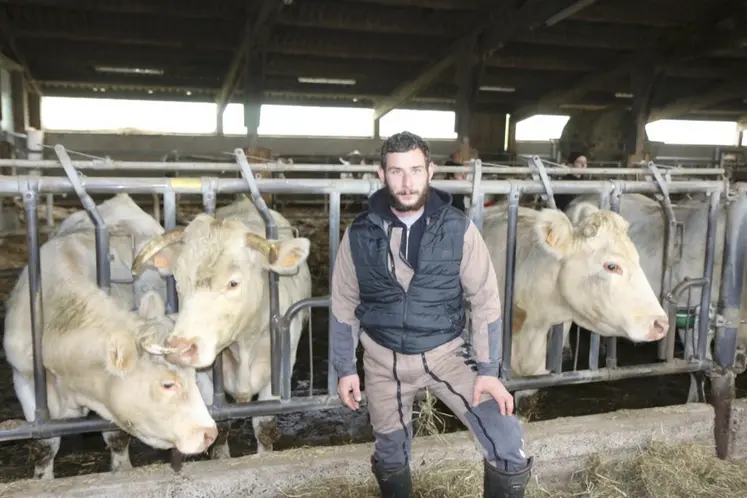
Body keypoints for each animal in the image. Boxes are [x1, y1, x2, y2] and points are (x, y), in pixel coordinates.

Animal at [2, 195, 218, 478]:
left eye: (190, 377)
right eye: (167, 384)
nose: (210, 433)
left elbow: (116, 436)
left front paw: (122, 468)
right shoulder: (23, 379)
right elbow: (45, 445)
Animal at [131, 195, 312, 460]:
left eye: (233, 283)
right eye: (178, 279)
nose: (180, 347)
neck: (244, 343)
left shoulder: (281, 367)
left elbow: (264, 427)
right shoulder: (204, 377)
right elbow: (221, 424)